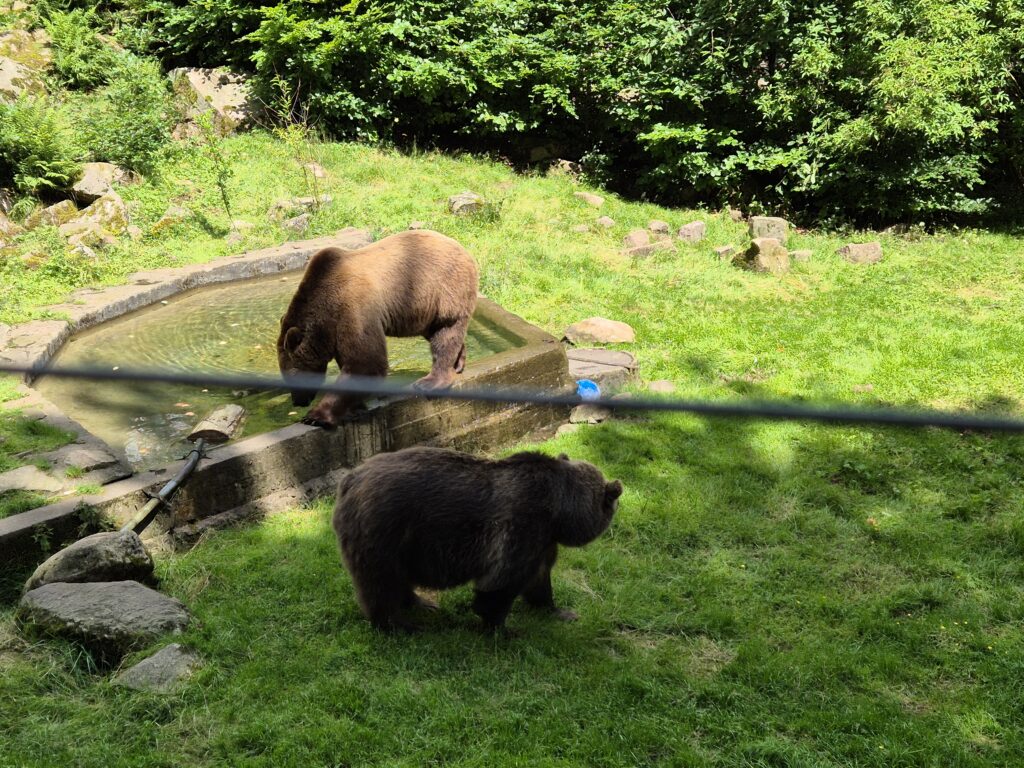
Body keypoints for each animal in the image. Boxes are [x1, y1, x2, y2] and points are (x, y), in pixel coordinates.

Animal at [274, 231, 477, 430]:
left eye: (292, 375)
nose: (298, 401)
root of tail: (464, 249)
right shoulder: (336, 327)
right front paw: (354, 407)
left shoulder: (354, 308)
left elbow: (366, 362)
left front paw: (316, 417)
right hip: (426, 311)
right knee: (437, 333)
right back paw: (458, 363)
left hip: (444, 290)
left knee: (445, 333)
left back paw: (431, 381)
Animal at [333, 448, 622, 634]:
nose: (618, 499)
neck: (558, 512)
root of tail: (350, 480)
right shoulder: (522, 526)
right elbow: (500, 583)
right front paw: (503, 629)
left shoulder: (542, 543)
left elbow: (539, 579)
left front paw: (559, 611)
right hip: (383, 530)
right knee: (380, 583)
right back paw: (401, 625)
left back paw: (423, 604)